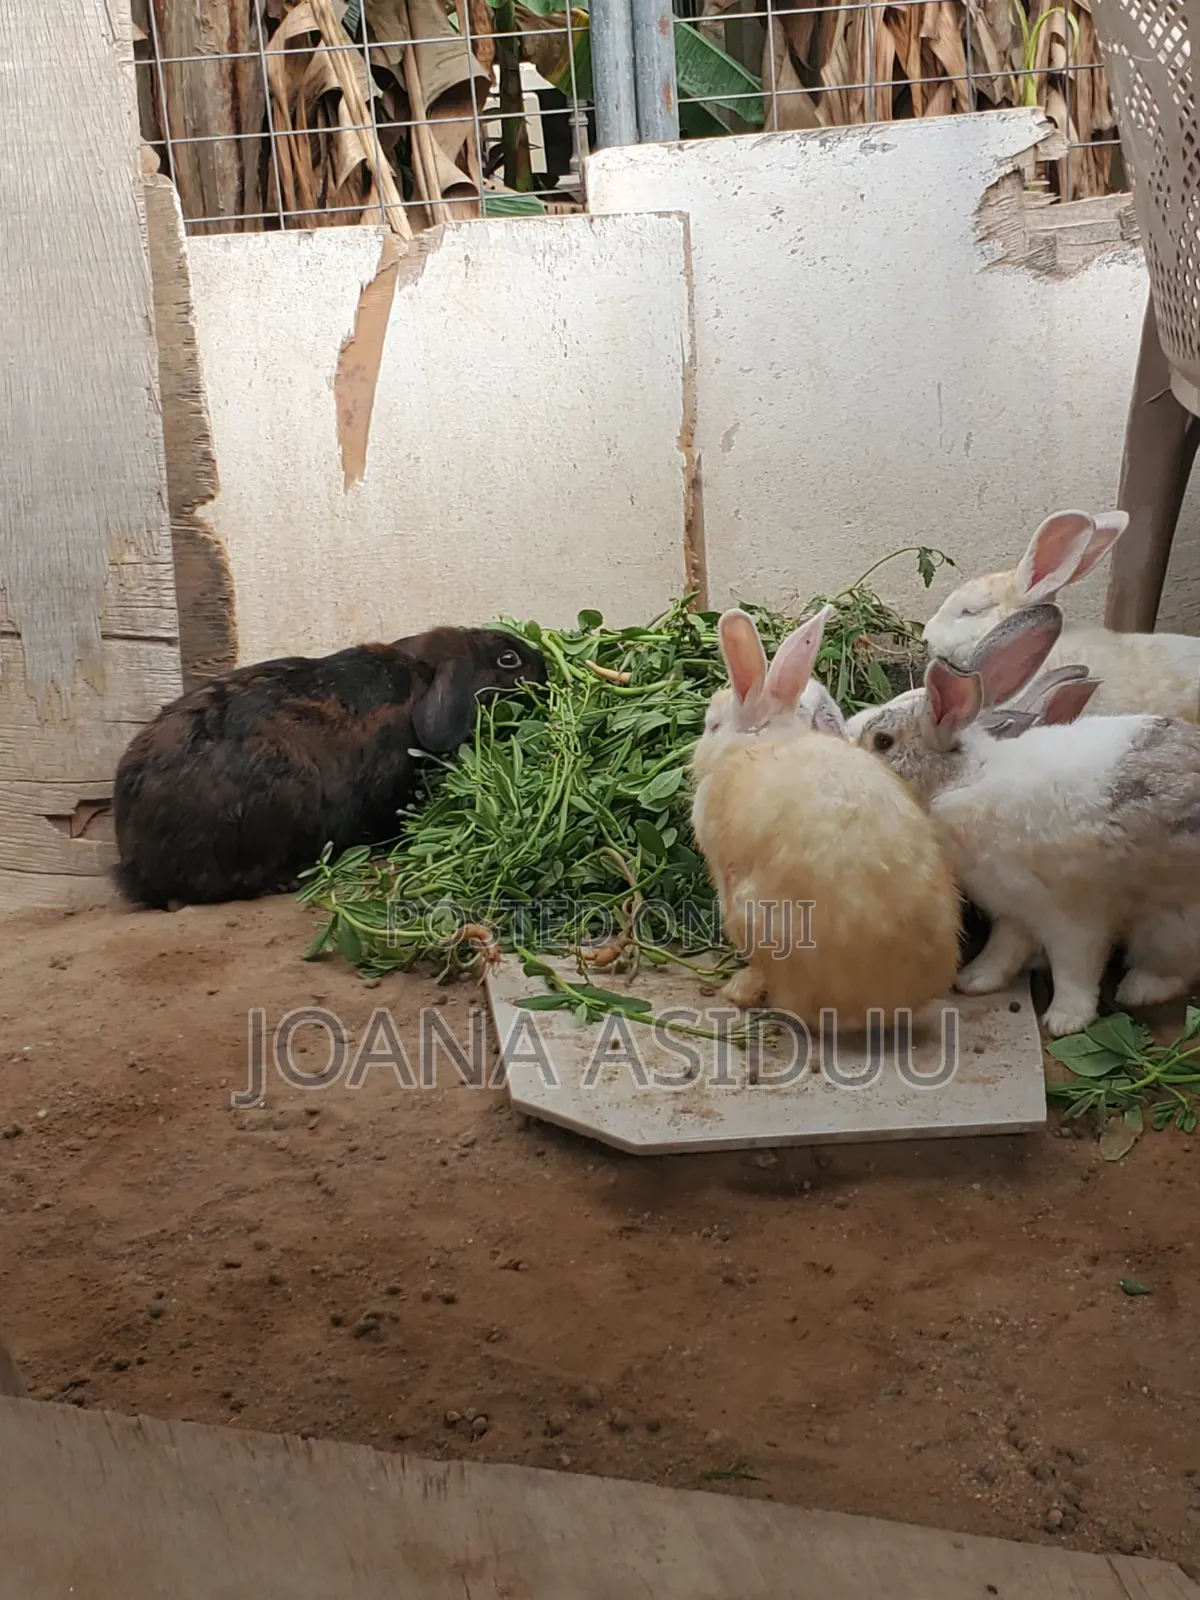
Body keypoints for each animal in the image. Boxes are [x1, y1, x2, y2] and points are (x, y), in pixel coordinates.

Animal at [847, 602, 1200, 1037]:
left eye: (882, 742)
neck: (961, 779)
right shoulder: (1013, 908)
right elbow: (1004, 948)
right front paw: (975, 981)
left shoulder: (1072, 915)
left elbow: (1075, 969)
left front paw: (1065, 1020)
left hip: (1173, 922)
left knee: (1174, 965)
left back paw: (1139, 989)